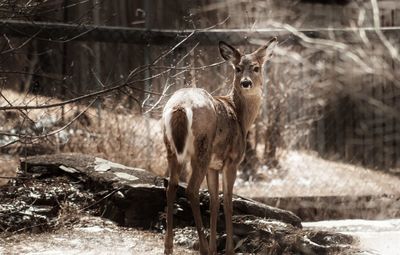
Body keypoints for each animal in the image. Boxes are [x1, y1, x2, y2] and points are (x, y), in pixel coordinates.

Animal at [161, 36, 276, 254]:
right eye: (238, 68)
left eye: (256, 68)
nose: (246, 83)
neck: (240, 117)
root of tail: (180, 106)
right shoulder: (232, 160)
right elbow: (228, 200)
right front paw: (228, 248)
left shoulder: (214, 166)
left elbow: (214, 201)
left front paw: (216, 246)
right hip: (202, 148)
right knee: (191, 189)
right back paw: (203, 248)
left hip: (170, 147)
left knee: (171, 186)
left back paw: (169, 247)